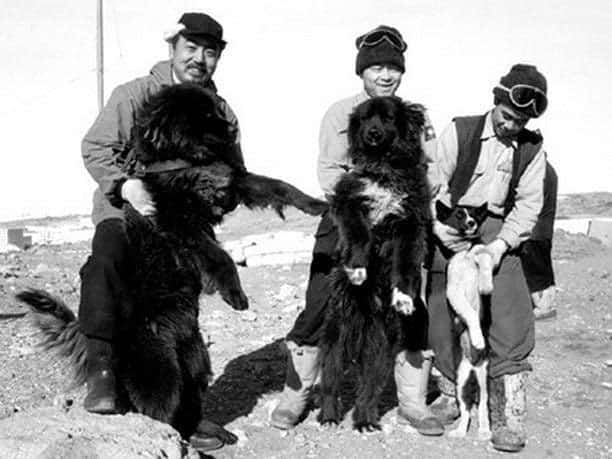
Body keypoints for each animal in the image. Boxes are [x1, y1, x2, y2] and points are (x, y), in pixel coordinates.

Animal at [318, 96, 432, 432]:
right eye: (366, 117)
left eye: (389, 118)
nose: (371, 133)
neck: (384, 169)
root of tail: (366, 317)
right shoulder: (348, 201)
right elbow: (359, 235)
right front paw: (357, 268)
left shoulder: (411, 223)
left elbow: (405, 264)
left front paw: (404, 297)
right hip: (337, 333)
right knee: (330, 379)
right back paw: (329, 415)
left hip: (381, 346)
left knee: (369, 386)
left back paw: (365, 419)